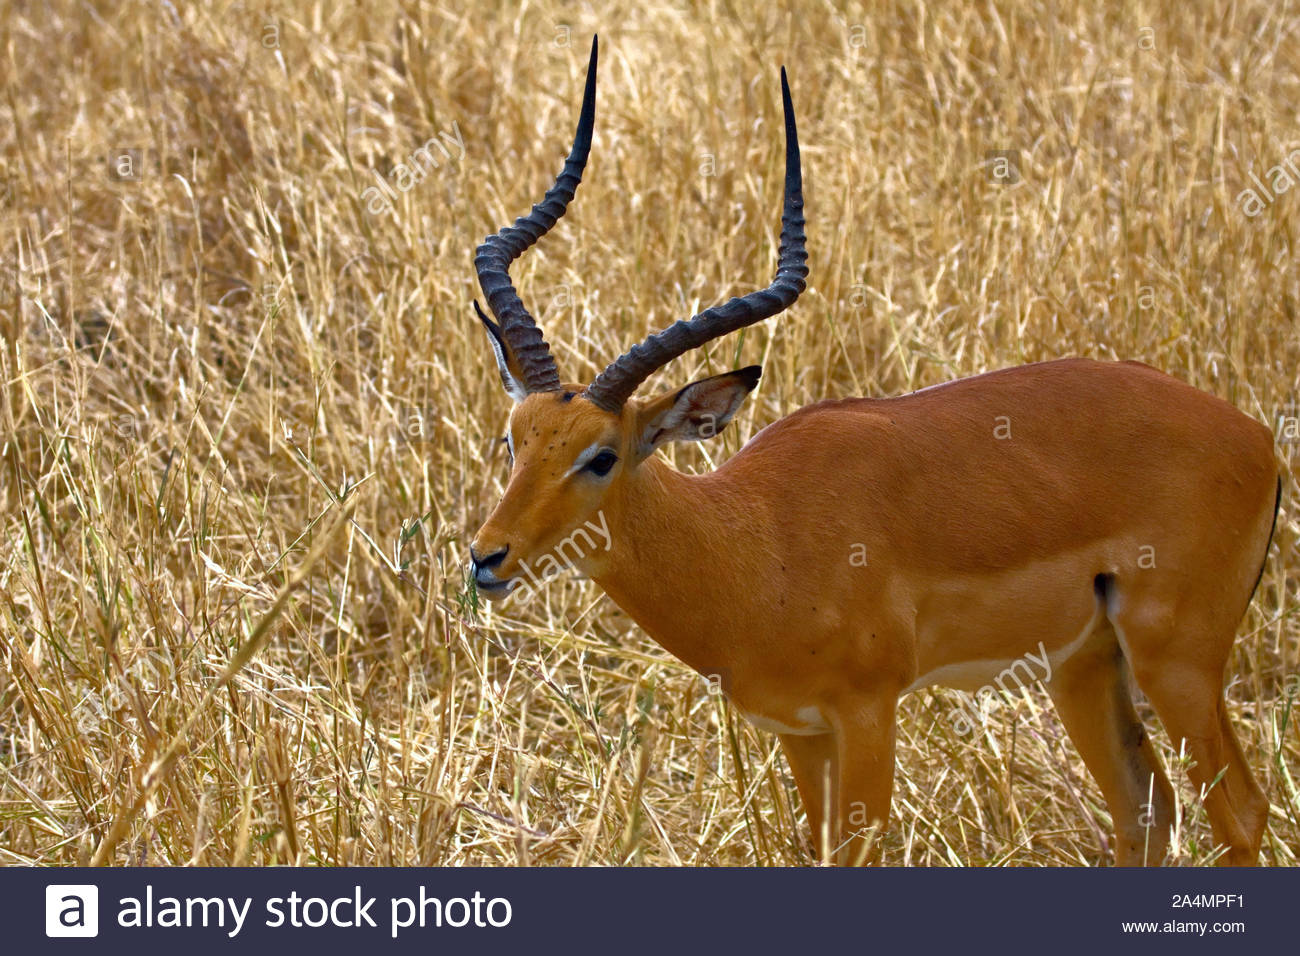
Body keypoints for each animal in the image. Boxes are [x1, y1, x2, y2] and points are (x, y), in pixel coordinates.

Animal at [467, 37, 1280, 865]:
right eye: (515, 438)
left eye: (600, 456)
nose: (487, 557)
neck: (754, 539)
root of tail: (1255, 436)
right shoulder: (799, 731)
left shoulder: (867, 713)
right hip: (1083, 664)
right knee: (1145, 811)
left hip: (1176, 661)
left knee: (1242, 812)